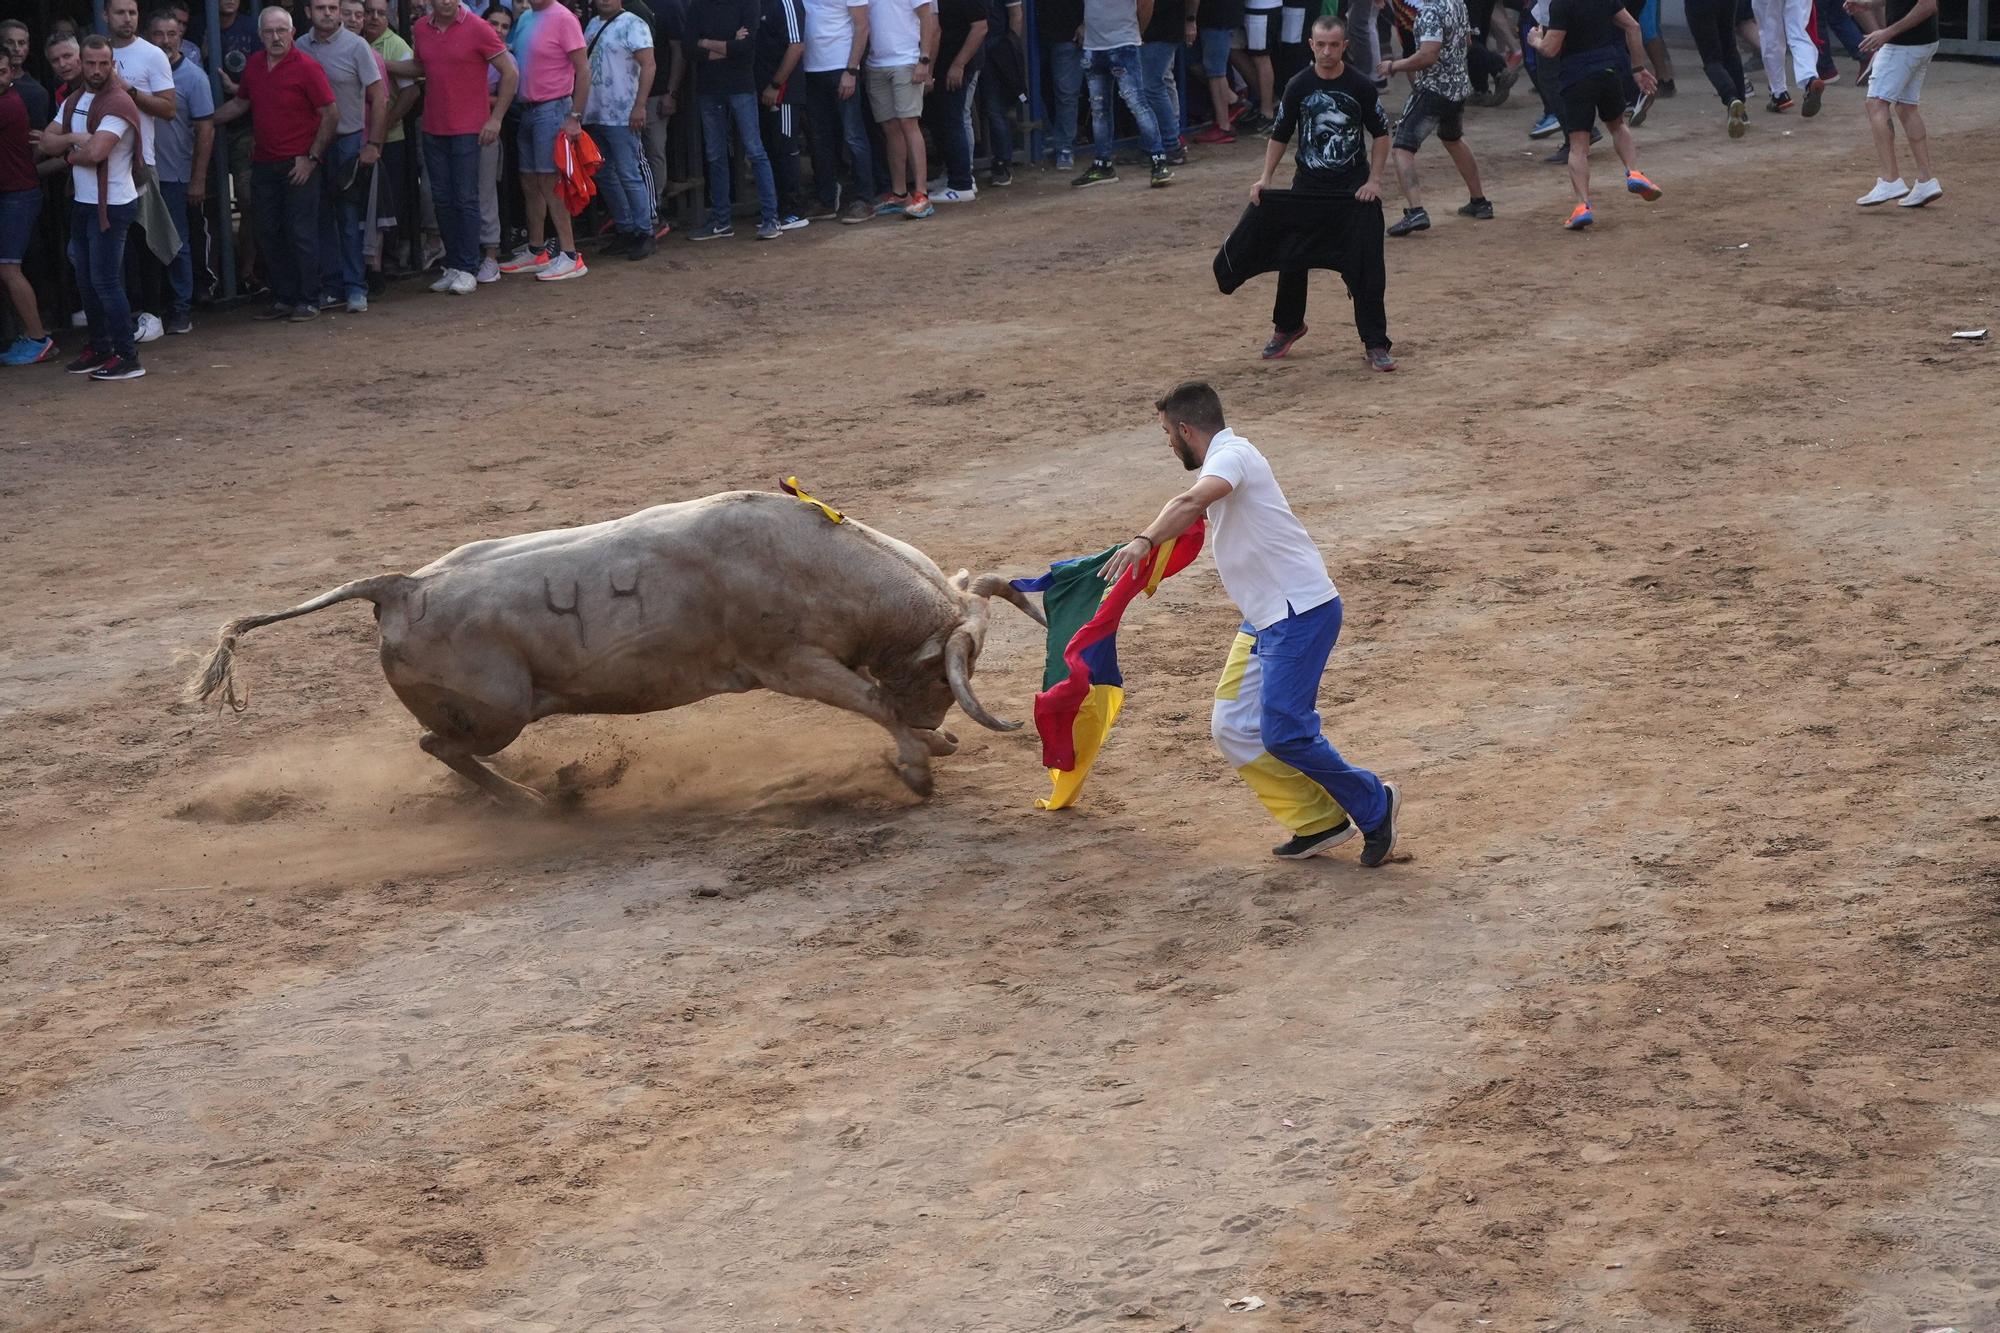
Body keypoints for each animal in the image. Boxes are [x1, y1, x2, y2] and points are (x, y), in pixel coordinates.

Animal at [188, 486, 1048, 800]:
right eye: (947, 672)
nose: (936, 720)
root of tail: (398, 587)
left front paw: (928, 746)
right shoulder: (793, 663)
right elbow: (869, 698)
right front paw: (916, 763)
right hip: (499, 711)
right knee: (442, 746)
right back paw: (538, 800)